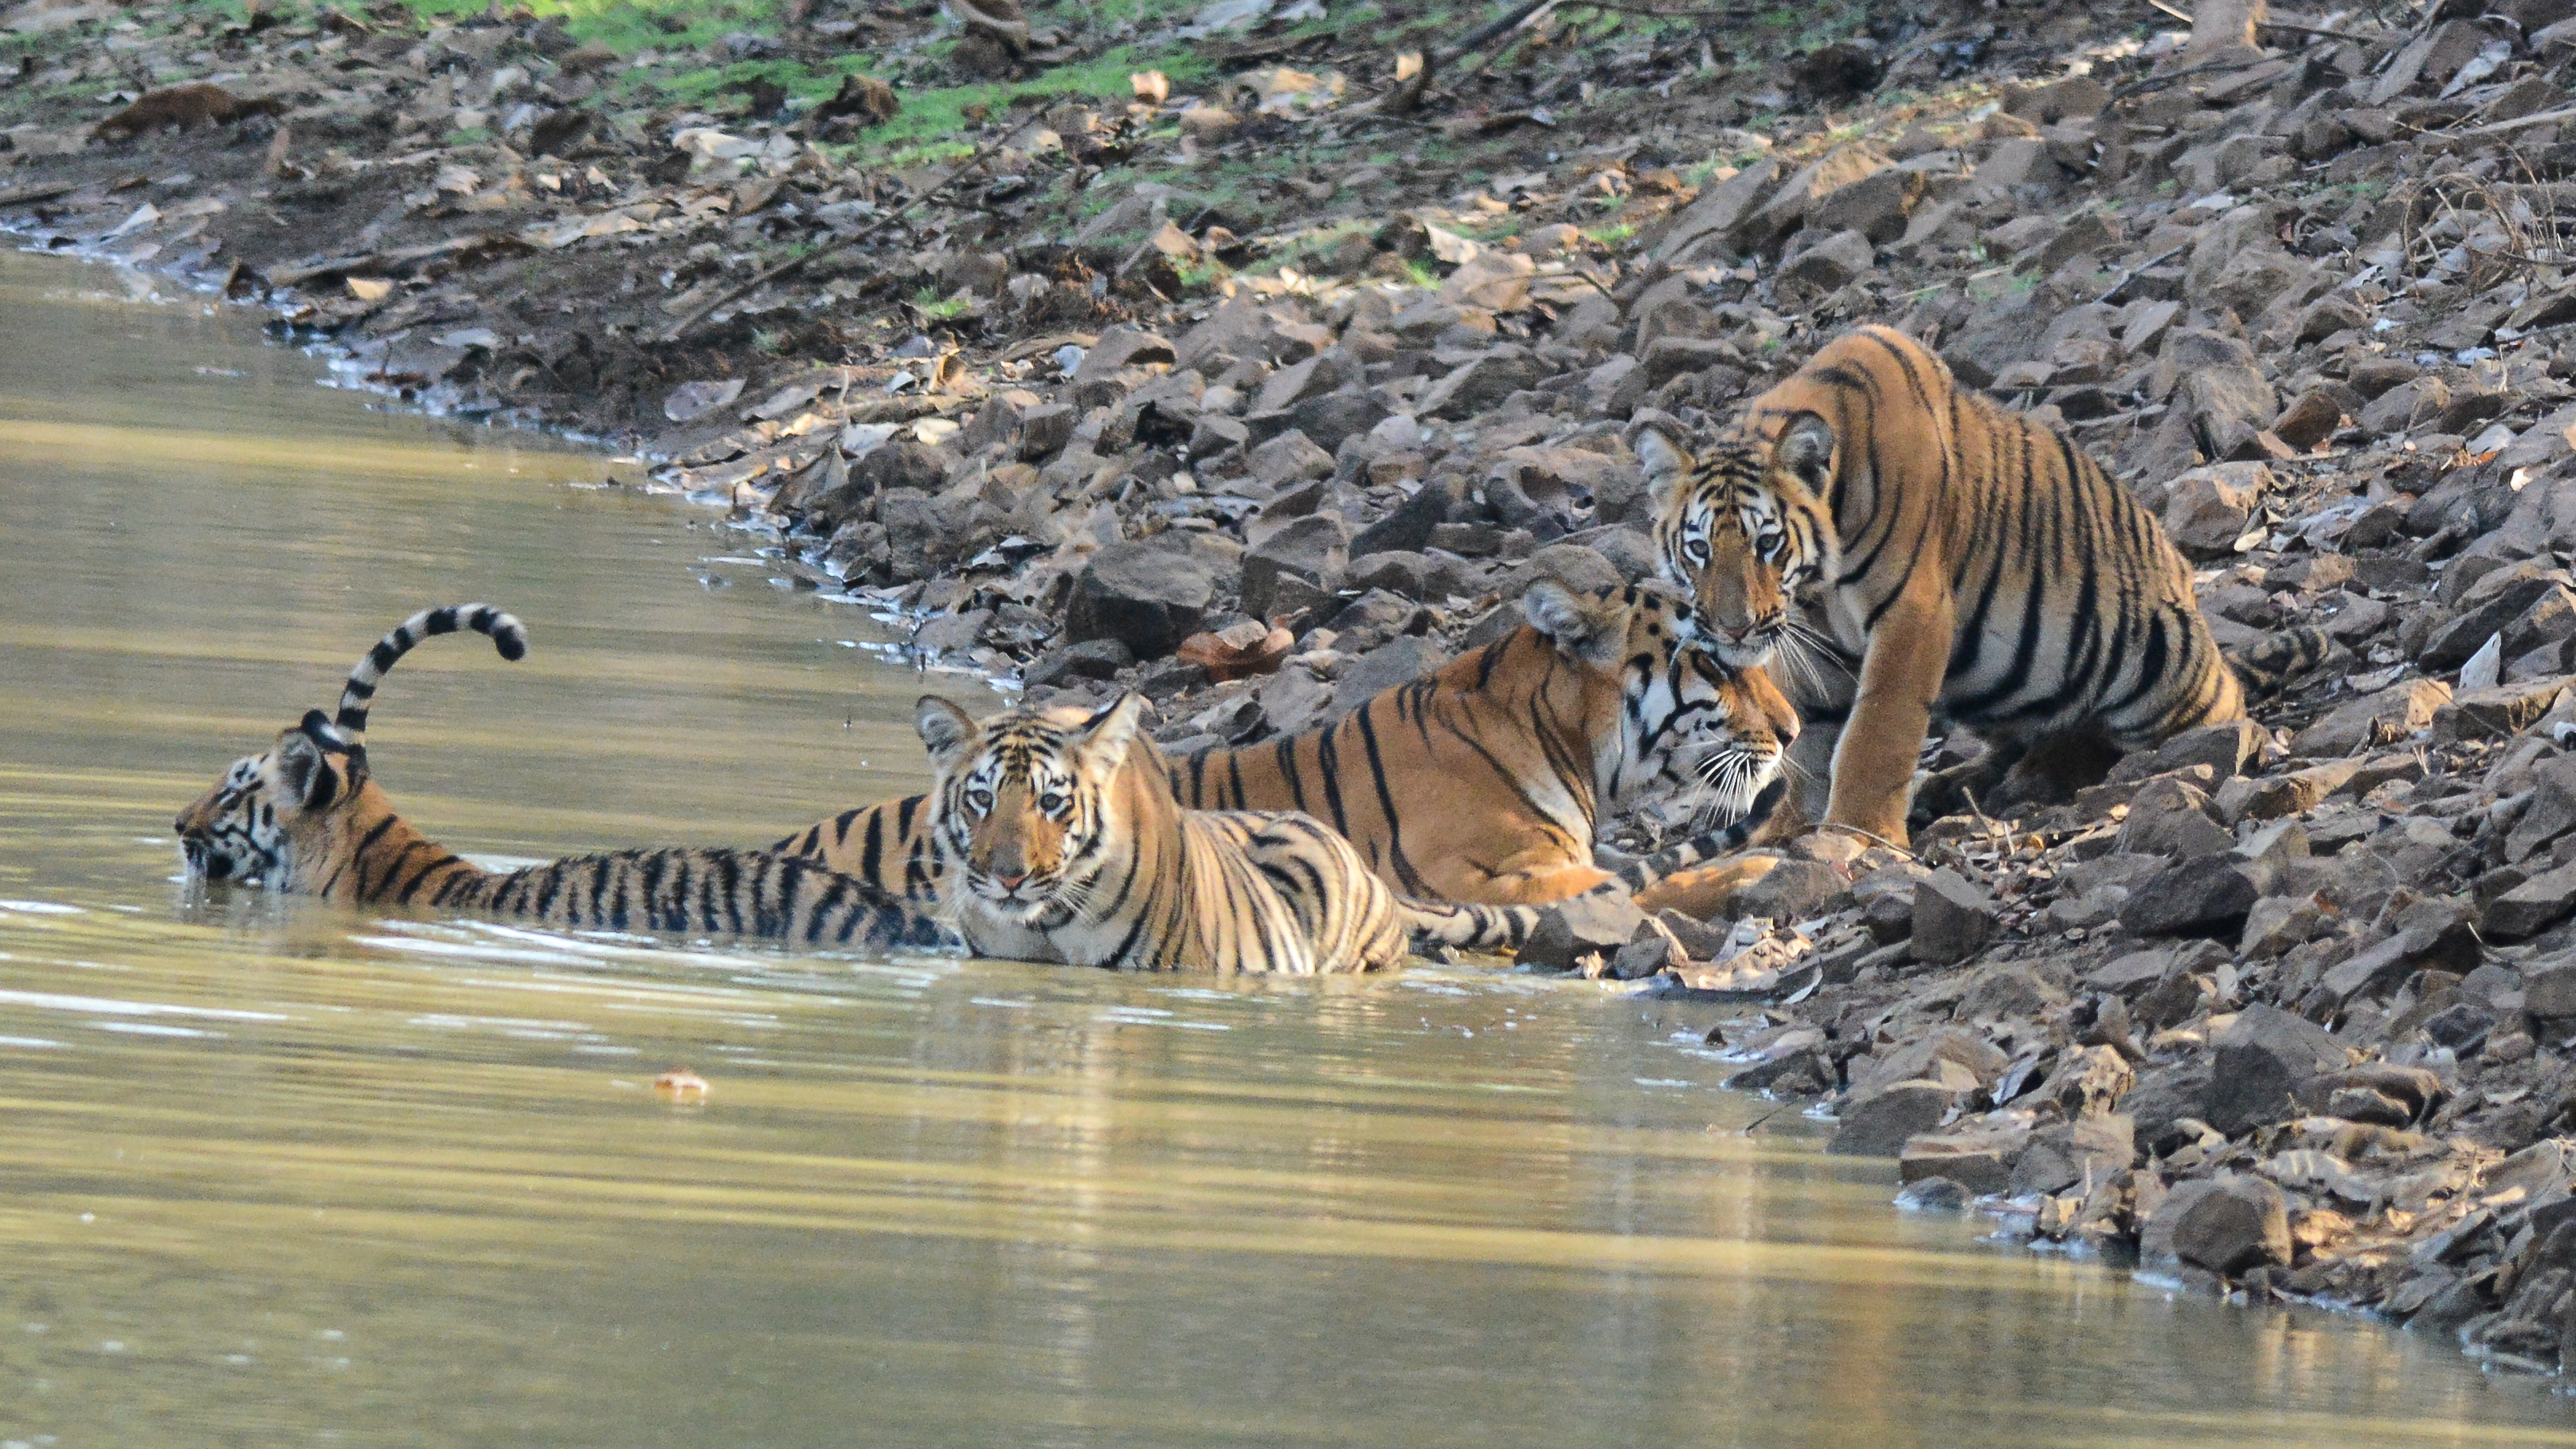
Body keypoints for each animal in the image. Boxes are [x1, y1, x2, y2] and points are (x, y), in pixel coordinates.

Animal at [1634, 324, 2331, 848]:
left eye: (1767, 544)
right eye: (1699, 549)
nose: (1733, 628)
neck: (1815, 586)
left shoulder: (1912, 612)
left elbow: (1876, 731)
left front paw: (1858, 833)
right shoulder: (1815, 638)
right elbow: (1813, 733)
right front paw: (1787, 828)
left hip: (2159, 665)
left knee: (2205, 718)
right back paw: (1960, 783)